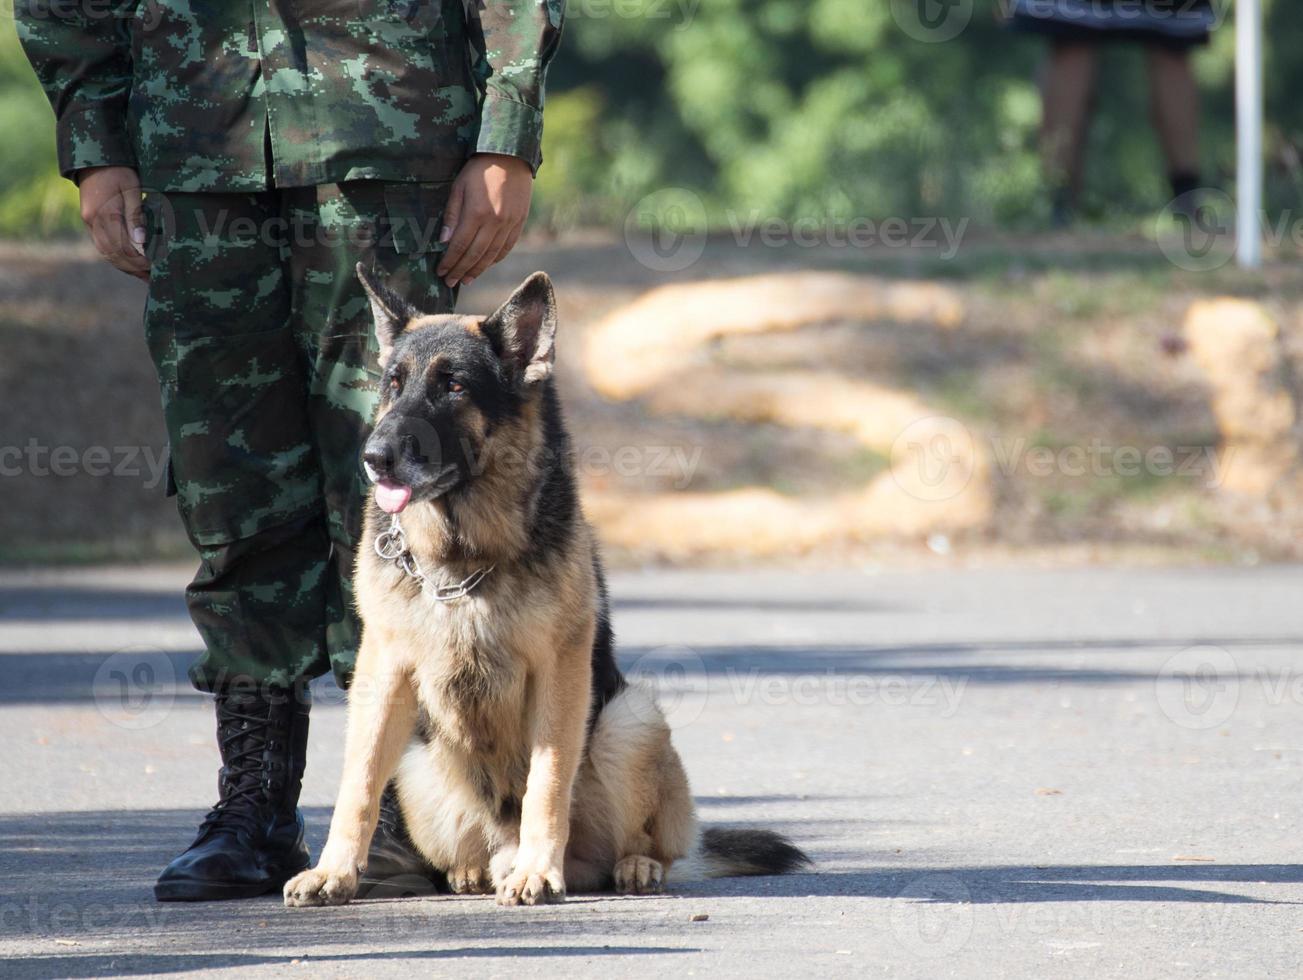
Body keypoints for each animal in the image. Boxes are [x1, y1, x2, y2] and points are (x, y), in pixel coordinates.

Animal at [287, 269, 802, 912]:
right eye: (393, 384)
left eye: (453, 386)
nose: (374, 459)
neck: (464, 558)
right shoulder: (383, 674)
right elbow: (356, 785)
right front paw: (333, 872)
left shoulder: (560, 671)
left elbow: (547, 781)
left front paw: (538, 870)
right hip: (416, 763)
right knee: (465, 847)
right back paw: (476, 871)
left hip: (631, 722)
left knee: (636, 846)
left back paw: (624, 865)